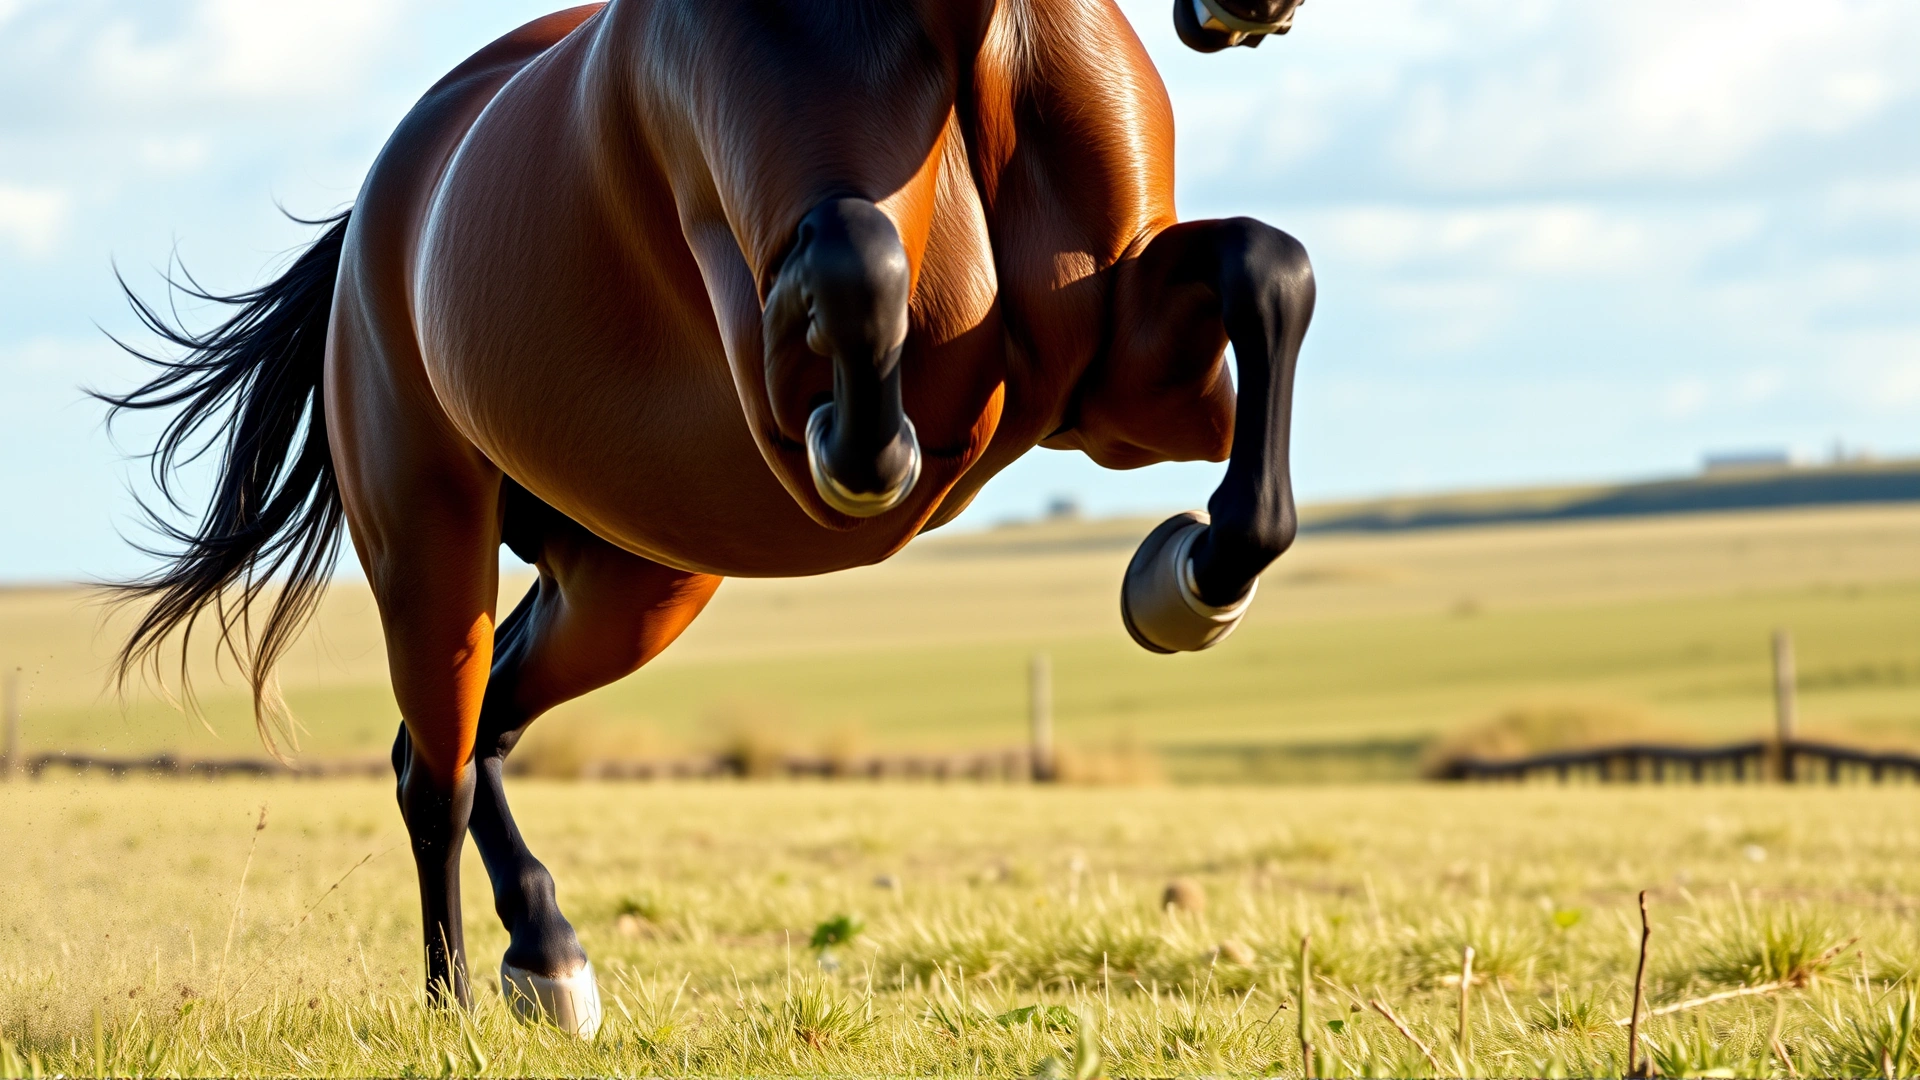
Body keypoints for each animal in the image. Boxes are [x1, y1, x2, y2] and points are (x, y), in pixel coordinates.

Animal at [102, 0, 1313, 1036]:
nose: (1248, 14)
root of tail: (372, 219)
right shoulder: (787, 360)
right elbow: (857, 268)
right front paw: (871, 452)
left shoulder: (1129, 380)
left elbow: (1267, 267)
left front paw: (1187, 580)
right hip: (429, 543)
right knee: (434, 772)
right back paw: (459, 1006)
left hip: (636, 587)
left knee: (478, 731)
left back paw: (547, 957)